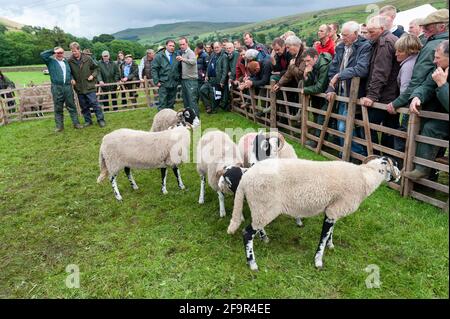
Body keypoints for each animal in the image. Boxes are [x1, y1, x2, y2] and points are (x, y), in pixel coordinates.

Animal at [229, 156, 400, 272]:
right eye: (396, 164)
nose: (399, 175)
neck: (365, 177)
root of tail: (245, 178)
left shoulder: (333, 208)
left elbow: (331, 232)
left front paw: (331, 245)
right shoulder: (335, 209)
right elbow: (323, 238)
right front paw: (318, 261)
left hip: (261, 207)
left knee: (256, 226)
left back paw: (264, 238)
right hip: (264, 205)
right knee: (247, 233)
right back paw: (253, 264)